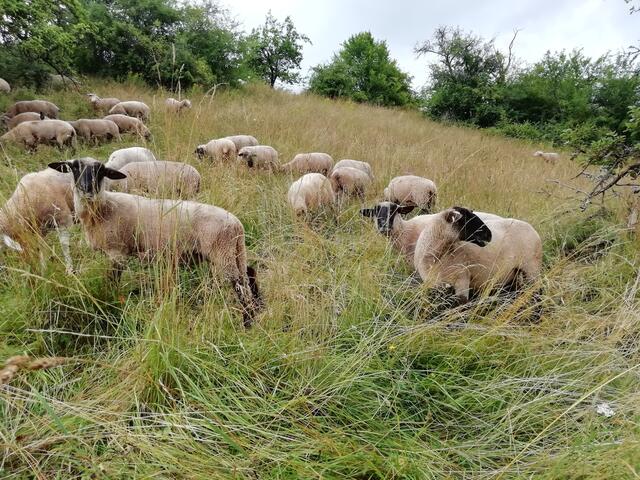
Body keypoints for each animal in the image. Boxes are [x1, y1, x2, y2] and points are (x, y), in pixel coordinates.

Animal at [48, 157, 262, 326]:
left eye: (101, 171)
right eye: (74, 167)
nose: (88, 189)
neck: (102, 208)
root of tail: (237, 224)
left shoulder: (117, 252)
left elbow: (112, 281)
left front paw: (110, 301)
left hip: (222, 253)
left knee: (239, 285)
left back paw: (248, 321)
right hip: (234, 252)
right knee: (249, 273)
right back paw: (257, 310)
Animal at [413, 206, 542, 305]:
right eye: (465, 220)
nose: (489, 235)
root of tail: (531, 228)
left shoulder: (462, 280)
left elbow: (460, 306)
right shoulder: (434, 286)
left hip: (532, 269)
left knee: (537, 292)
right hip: (513, 272)